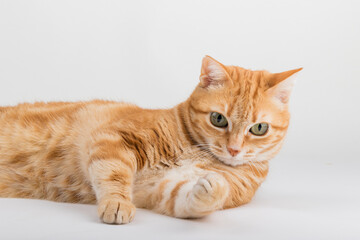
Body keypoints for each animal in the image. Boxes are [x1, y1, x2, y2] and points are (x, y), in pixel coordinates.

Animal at [0, 55, 300, 223]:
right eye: (218, 119)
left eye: (259, 128)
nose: (234, 149)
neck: (195, 150)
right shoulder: (115, 139)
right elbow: (114, 176)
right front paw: (117, 203)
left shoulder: (160, 191)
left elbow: (190, 200)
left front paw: (211, 188)